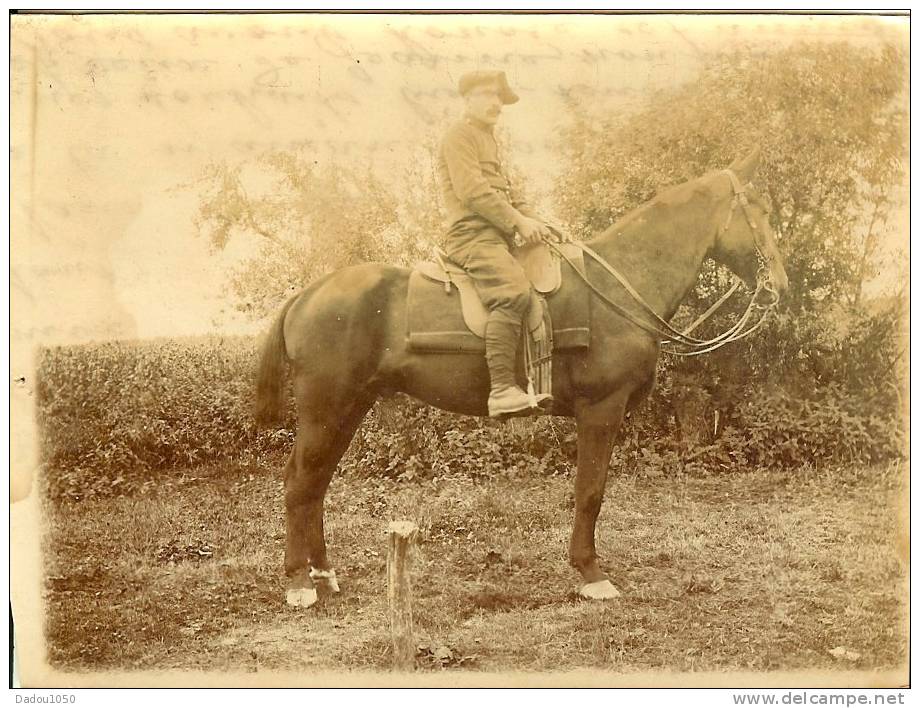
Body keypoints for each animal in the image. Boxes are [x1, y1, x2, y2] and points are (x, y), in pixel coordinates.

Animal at [255, 149, 788, 608]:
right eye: (760, 209)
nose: (780, 286)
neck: (617, 286)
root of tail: (308, 294)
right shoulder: (601, 410)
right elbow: (590, 491)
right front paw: (591, 573)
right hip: (327, 408)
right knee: (299, 482)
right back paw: (299, 583)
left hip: (348, 409)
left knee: (317, 482)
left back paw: (323, 574)